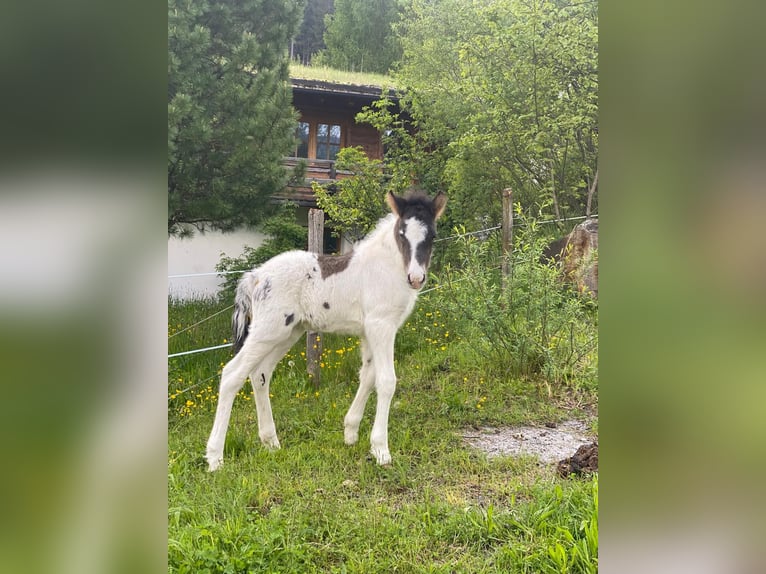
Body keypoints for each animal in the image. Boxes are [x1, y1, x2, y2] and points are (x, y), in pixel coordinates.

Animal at [206, 190, 447, 470]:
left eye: (433, 235)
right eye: (401, 233)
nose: (416, 278)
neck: (387, 267)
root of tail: (256, 276)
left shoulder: (370, 331)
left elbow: (368, 376)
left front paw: (351, 433)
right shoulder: (381, 325)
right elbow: (386, 381)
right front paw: (381, 450)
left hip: (288, 333)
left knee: (260, 374)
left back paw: (271, 442)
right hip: (268, 331)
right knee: (232, 374)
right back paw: (215, 457)